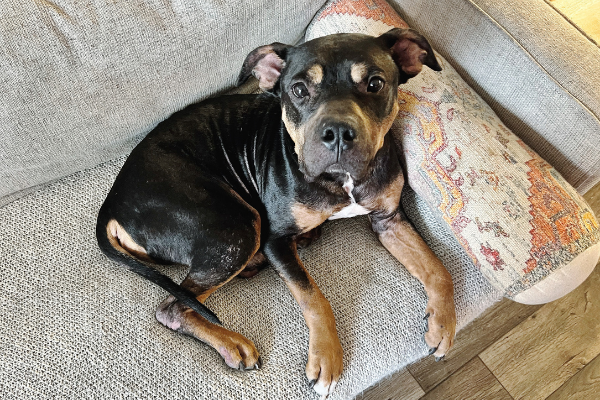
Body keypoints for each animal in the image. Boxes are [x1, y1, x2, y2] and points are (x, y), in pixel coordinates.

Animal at [97, 28, 454, 396]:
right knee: (174, 307)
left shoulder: (390, 220)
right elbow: (314, 299)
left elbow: (438, 269)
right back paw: (234, 344)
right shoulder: (275, 241)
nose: (338, 133)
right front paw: (326, 358)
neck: (340, 180)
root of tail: (112, 202)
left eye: (375, 84)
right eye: (298, 90)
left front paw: (443, 327)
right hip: (238, 227)